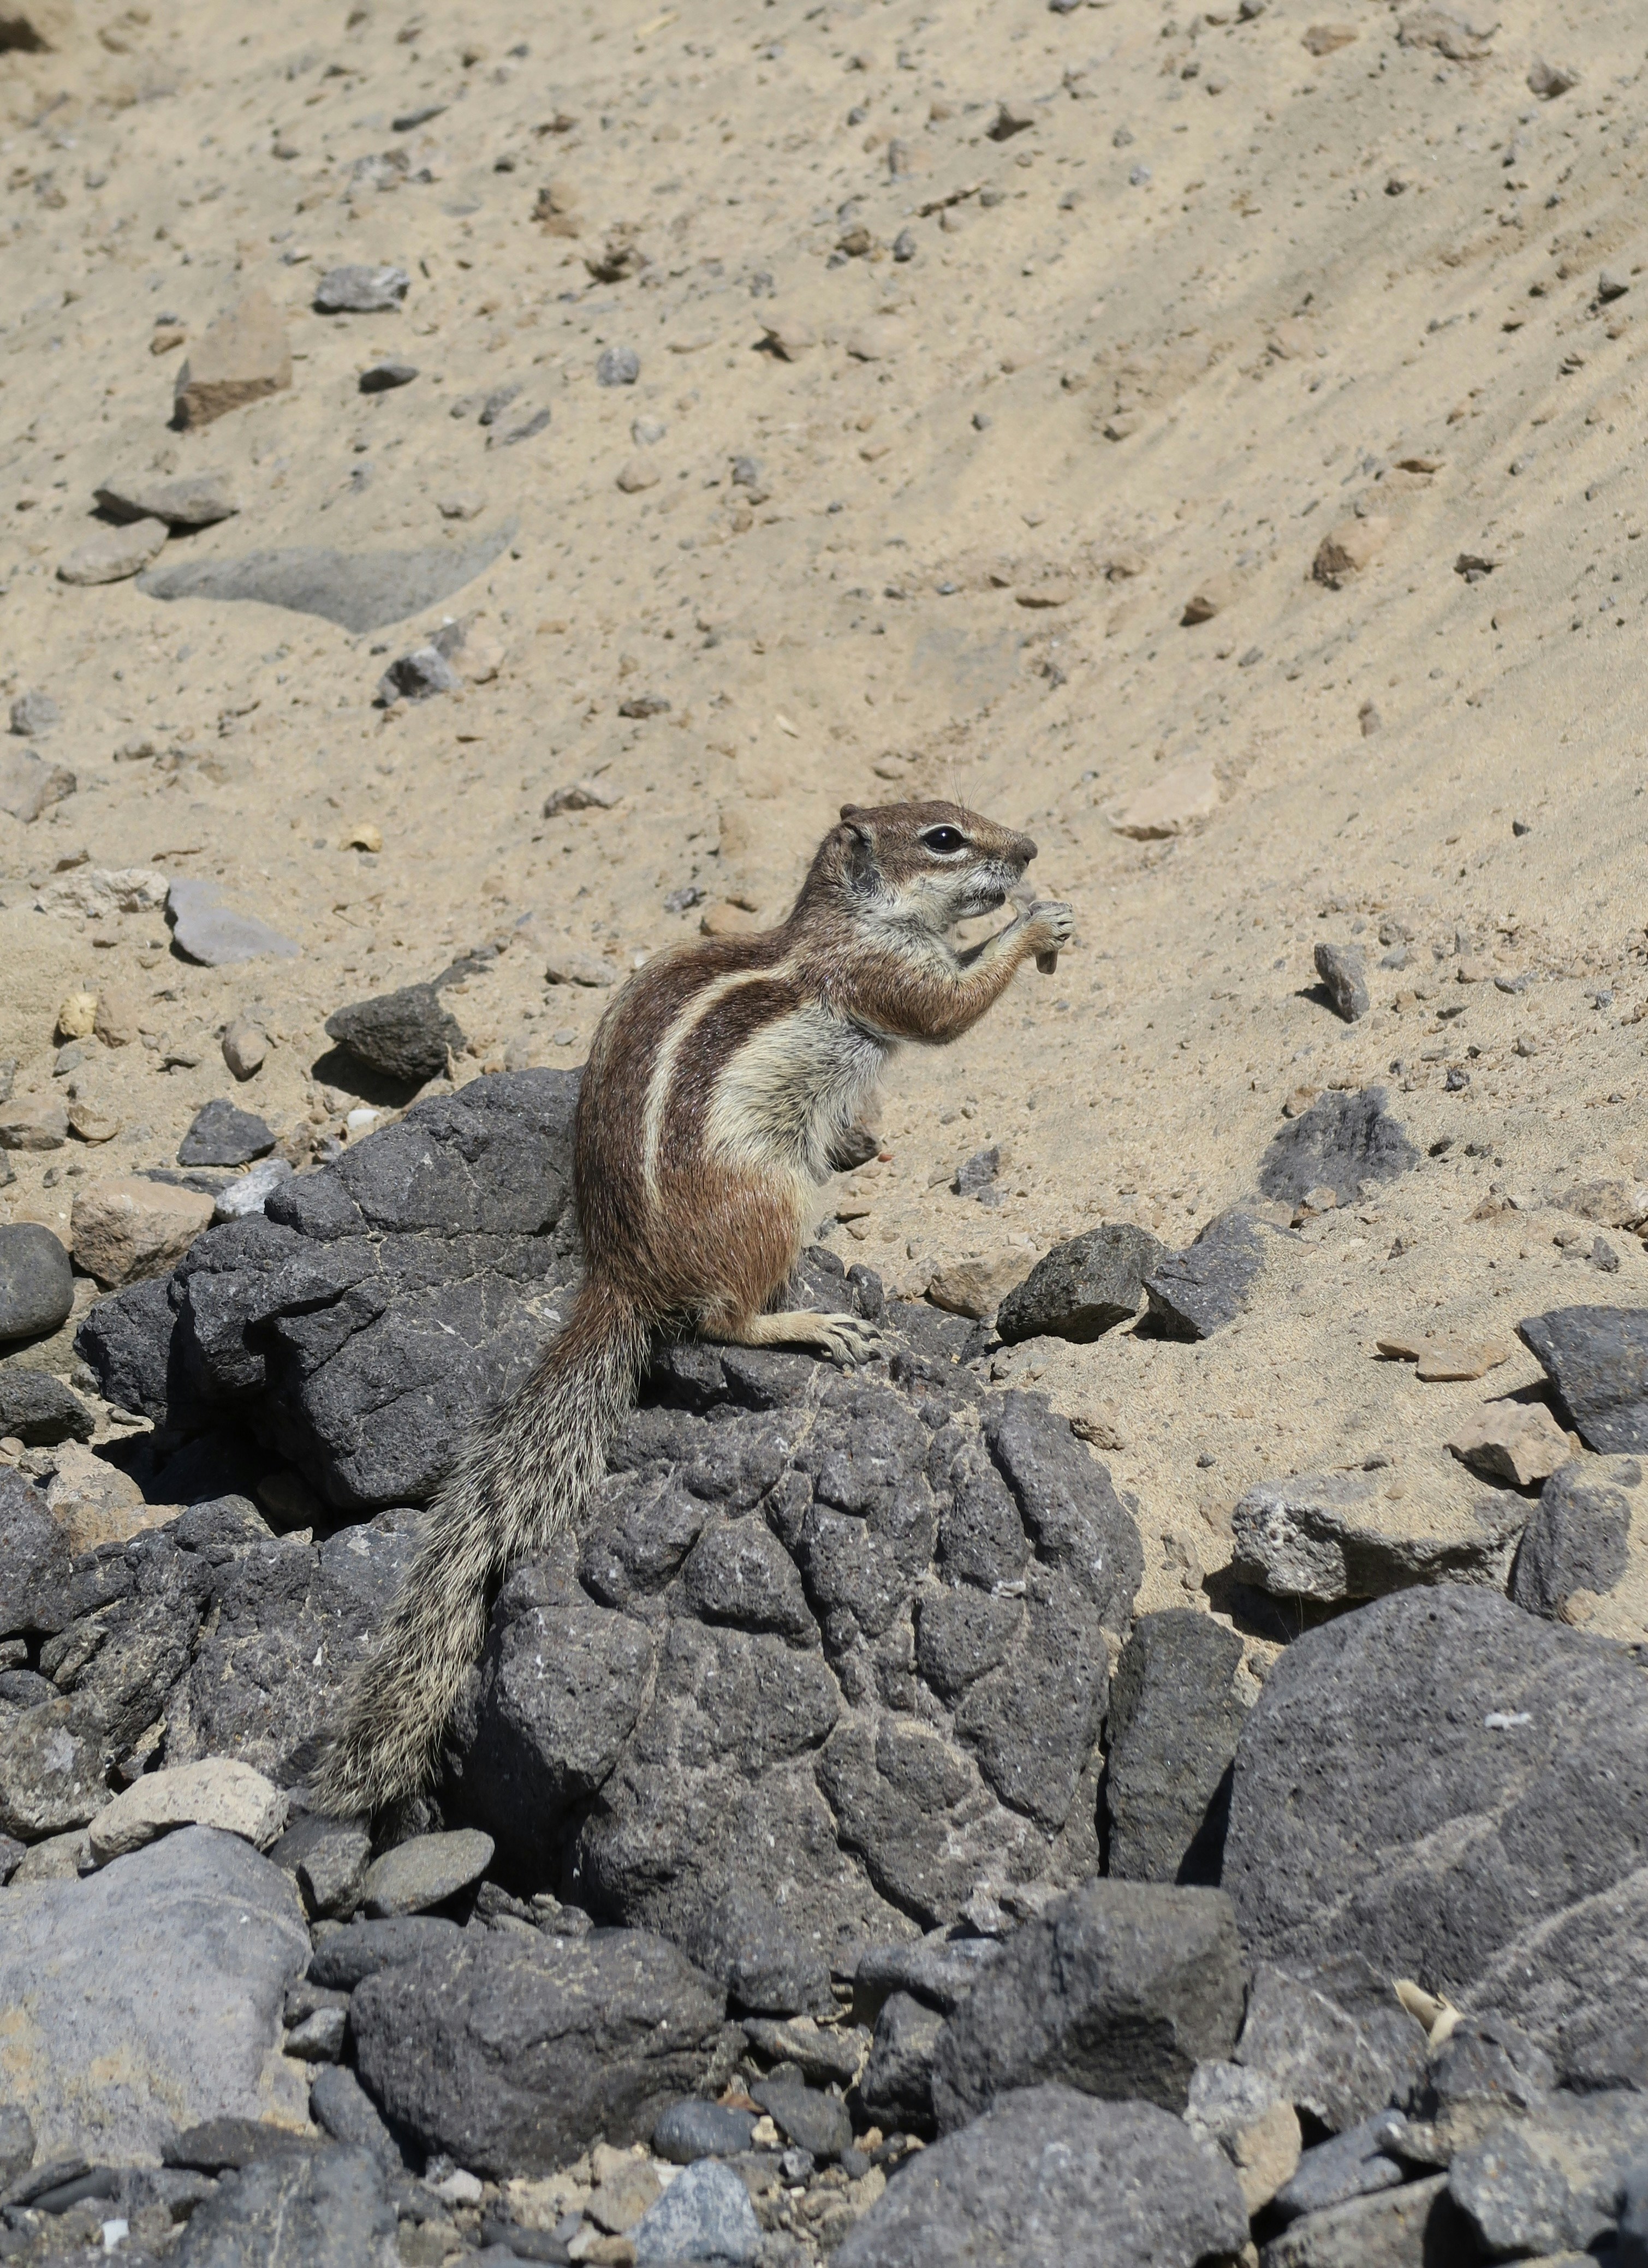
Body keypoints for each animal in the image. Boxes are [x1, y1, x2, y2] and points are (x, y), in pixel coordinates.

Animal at [312, 799, 1074, 1816]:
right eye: (943, 839)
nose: (1027, 849)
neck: (842, 921)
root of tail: (621, 1275)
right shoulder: (881, 975)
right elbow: (947, 1009)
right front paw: (1035, 922)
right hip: (774, 1196)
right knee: (720, 1319)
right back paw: (808, 1322)